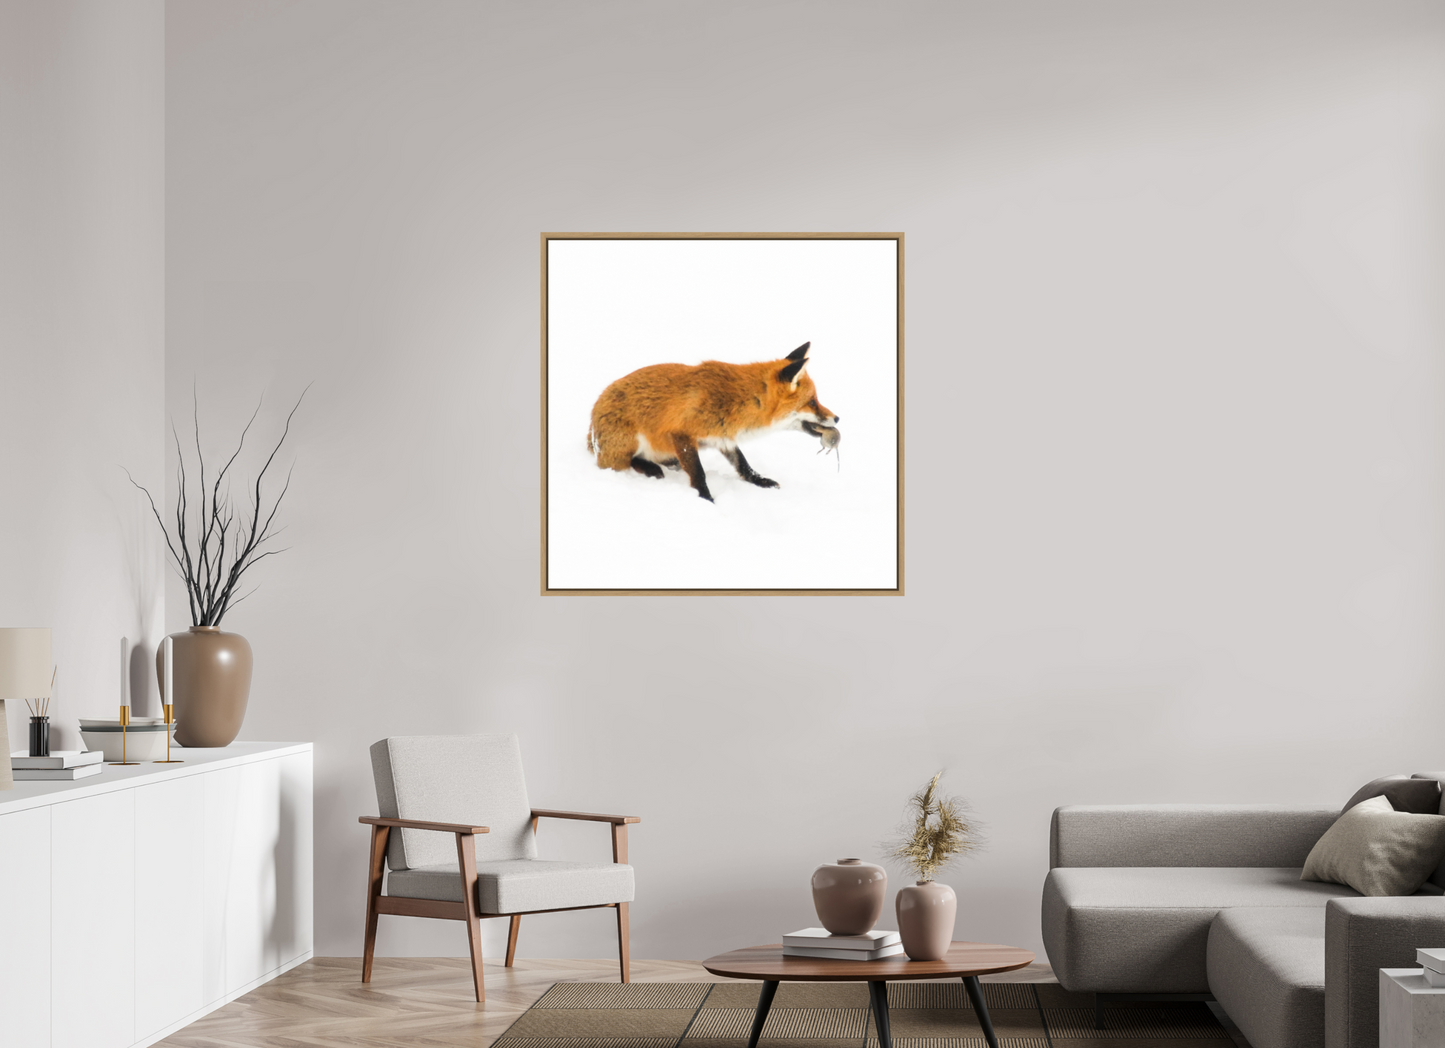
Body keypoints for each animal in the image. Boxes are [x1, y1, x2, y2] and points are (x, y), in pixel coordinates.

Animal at [587, 341, 840, 502]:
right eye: (813, 402)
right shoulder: (681, 433)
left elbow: (743, 465)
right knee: (621, 463)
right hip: (628, 444)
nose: (838, 417)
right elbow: (699, 473)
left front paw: (760, 481)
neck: (738, 401)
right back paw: (649, 468)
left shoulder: (723, 437)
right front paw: (706, 499)